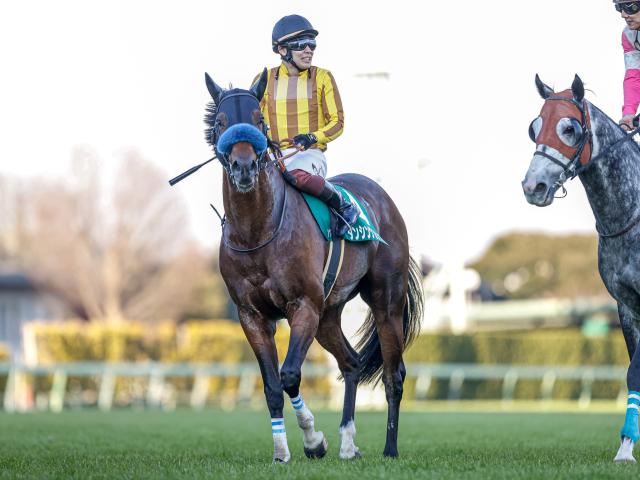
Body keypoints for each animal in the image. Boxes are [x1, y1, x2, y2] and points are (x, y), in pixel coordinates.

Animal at [205, 69, 422, 464]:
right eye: (221, 122)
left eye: (259, 120)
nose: (243, 167)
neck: (258, 229)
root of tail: (382, 198)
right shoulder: (252, 315)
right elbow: (271, 386)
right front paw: (281, 452)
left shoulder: (303, 305)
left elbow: (290, 375)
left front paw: (313, 441)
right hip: (328, 315)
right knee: (351, 363)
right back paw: (348, 443)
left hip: (386, 300)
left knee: (394, 374)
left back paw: (390, 448)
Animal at [524, 74, 640, 462]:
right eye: (533, 128)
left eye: (570, 128)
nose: (533, 186)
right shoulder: (626, 305)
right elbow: (633, 371)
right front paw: (627, 447)